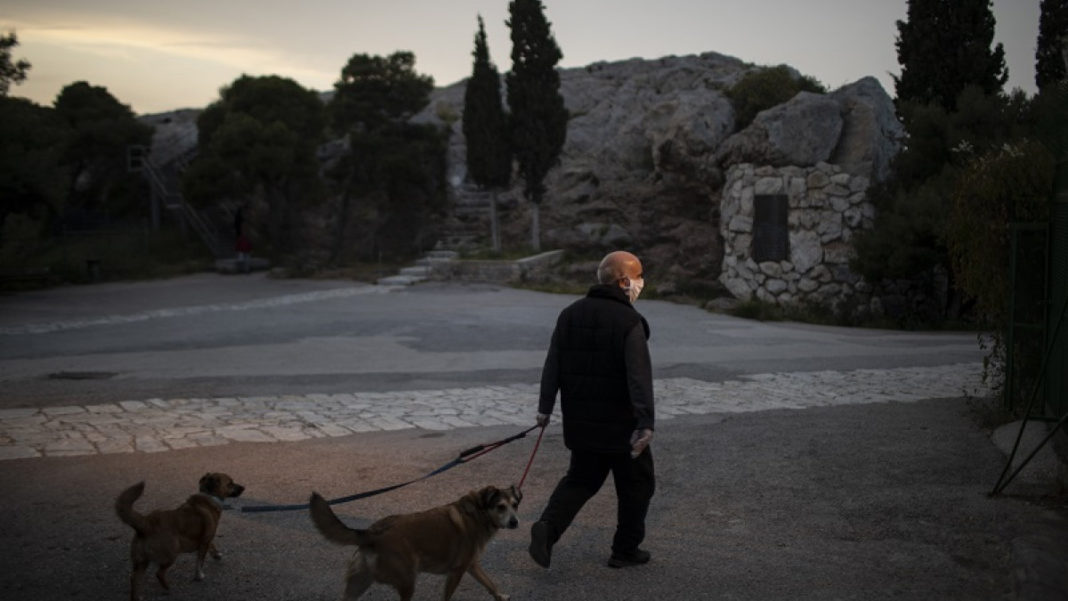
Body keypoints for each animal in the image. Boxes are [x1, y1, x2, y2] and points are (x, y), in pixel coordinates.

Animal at [114, 476, 245, 601]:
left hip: (141, 562)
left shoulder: (207, 538)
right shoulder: (205, 541)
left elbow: (212, 546)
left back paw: (137, 597)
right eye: (230, 483)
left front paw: (217, 555)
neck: (209, 495)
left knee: (134, 578)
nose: (243, 487)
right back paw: (168, 587)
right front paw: (199, 576)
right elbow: (200, 562)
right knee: (159, 573)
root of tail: (146, 523)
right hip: (171, 554)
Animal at [309, 484, 521, 601]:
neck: (479, 511)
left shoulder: (472, 566)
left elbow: (490, 584)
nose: (515, 522)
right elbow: (446, 597)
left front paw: (500, 596)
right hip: (407, 582)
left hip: (358, 583)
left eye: (515, 505)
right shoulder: (456, 572)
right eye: (501, 506)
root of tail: (372, 533)